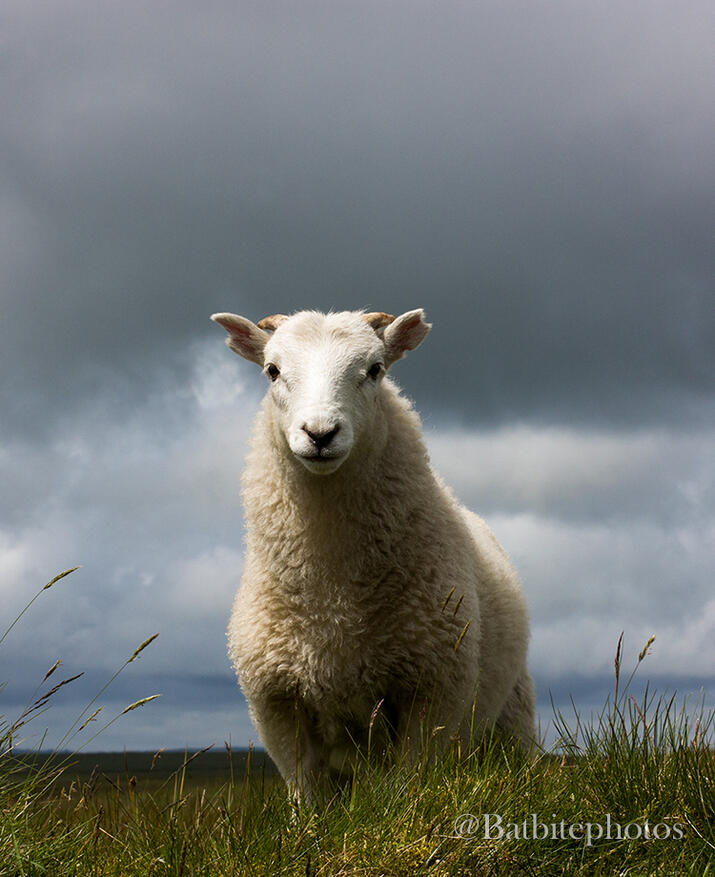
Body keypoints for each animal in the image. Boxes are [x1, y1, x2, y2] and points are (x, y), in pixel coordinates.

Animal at [211, 308, 535, 800]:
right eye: (272, 371)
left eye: (376, 370)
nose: (320, 434)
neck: (332, 601)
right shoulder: (277, 704)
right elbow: (305, 796)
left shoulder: (432, 692)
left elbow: (408, 785)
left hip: (510, 719)